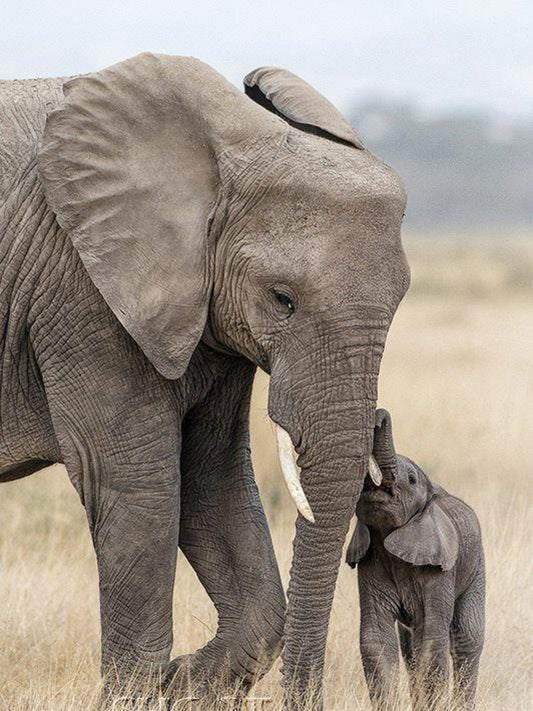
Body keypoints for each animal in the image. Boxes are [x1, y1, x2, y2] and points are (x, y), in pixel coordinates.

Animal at [0, 53, 409, 709]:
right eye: (281, 299)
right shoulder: (82, 294)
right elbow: (141, 488)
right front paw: (141, 692)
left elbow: (211, 477)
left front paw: (182, 683)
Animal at [346, 409, 485, 711]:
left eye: (410, 479)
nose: (379, 415)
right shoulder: (370, 560)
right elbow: (377, 640)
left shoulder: (440, 567)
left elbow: (432, 640)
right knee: (409, 648)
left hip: (476, 565)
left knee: (468, 638)